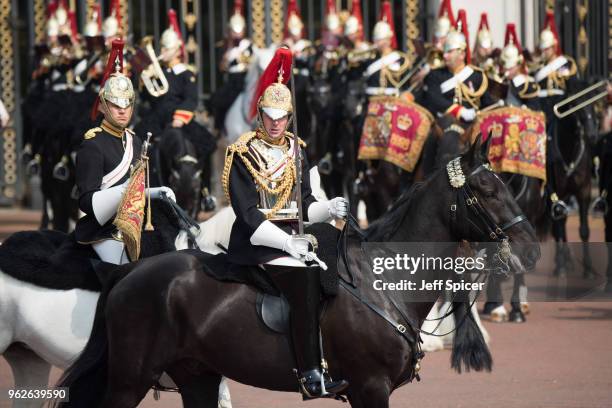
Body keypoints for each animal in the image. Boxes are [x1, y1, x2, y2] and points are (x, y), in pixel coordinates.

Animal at [55, 136, 536, 408]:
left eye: (507, 185)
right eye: (485, 190)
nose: (530, 248)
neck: (383, 285)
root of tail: (127, 273)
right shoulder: (370, 388)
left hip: (197, 377)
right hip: (130, 379)